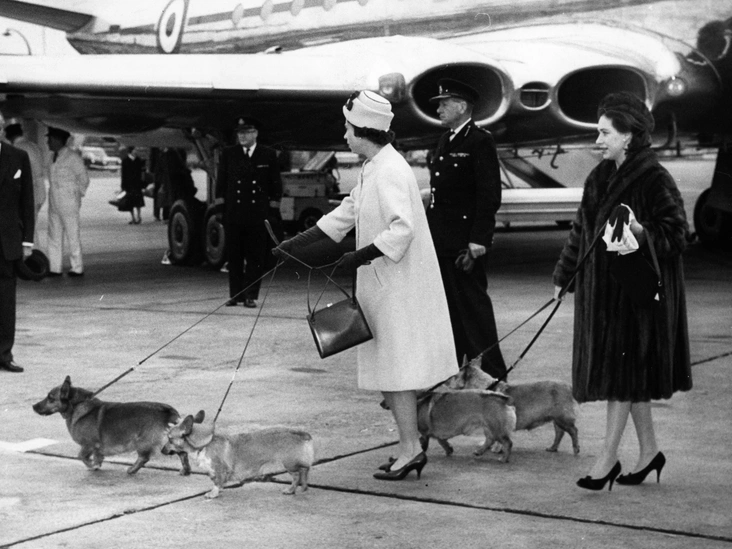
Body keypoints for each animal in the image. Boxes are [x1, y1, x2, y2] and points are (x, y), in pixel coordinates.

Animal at [32, 375, 191, 474]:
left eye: (50, 398)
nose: (33, 406)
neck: (77, 404)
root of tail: (167, 411)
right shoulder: (96, 448)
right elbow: (97, 456)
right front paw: (97, 465)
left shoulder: (88, 445)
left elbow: (82, 457)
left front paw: (93, 466)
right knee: (183, 453)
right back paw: (186, 470)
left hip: (142, 442)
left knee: (144, 458)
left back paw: (132, 470)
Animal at [163, 410, 315, 499]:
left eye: (170, 439)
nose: (162, 451)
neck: (204, 444)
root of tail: (300, 433)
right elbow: (216, 481)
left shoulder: (219, 470)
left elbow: (217, 482)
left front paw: (213, 493)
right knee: (304, 471)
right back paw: (303, 487)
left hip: (289, 463)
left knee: (297, 475)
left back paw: (291, 490)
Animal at [445, 358, 580, 455]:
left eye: (454, 376)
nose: (444, 382)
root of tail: (569, 387)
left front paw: (496, 449)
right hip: (557, 419)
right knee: (559, 433)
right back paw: (552, 448)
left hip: (562, 418)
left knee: (573, 431)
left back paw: (576, 449)